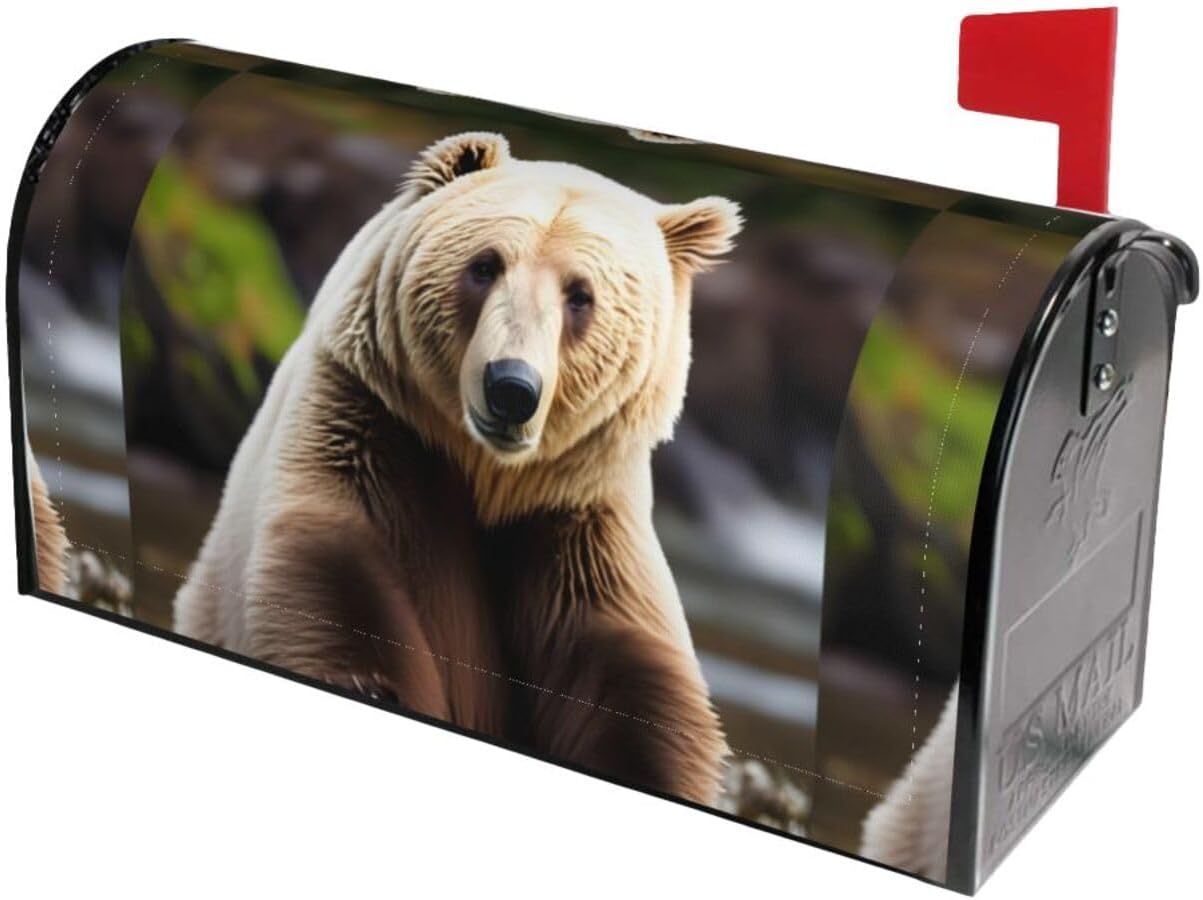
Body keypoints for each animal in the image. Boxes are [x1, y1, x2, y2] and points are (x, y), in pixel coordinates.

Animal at [174, 132, 743, 804]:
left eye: (581, 294)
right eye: (485, 265)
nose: (511, 388)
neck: (488, 474)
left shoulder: (577, 522)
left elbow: (630, 689)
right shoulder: (371, 431)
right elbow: (336, 587)